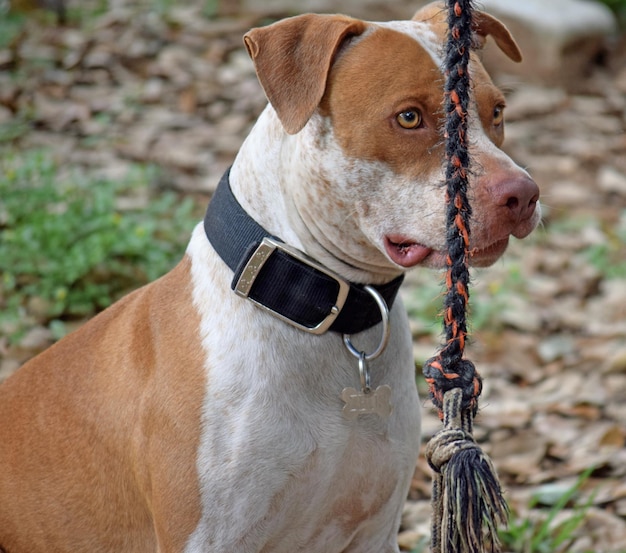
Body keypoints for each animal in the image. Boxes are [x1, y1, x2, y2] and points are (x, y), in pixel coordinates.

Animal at [0, 2, 536, 548]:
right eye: (409, 117)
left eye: (497, 113)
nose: (522, 194)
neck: (320, 311)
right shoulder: (210, 537)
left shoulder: (373, 531)